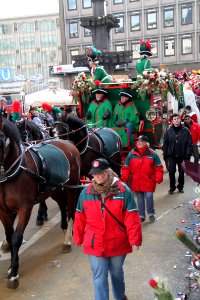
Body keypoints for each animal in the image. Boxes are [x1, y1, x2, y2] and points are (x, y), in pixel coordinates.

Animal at [0, 115, 80, 288]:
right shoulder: (3, 211)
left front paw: (14, 273)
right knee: (62, 204)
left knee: (70, 210)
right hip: (54, 188)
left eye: (1, 137)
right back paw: (63, 226)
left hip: (72, 186)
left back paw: (67, 240)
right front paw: (11, 267)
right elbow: (9, 237)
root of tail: (68, 143)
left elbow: (17, 238)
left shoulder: (25, 207)